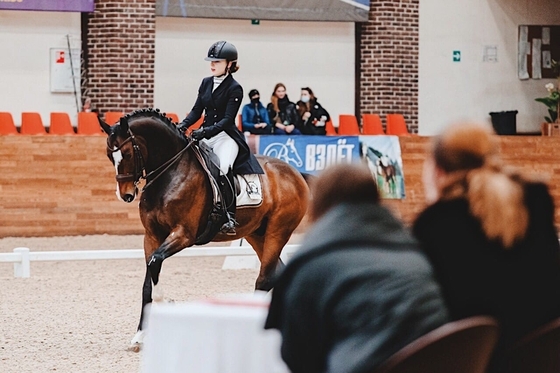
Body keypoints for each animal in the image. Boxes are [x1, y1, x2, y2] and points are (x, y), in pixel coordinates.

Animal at [98, 108, 308, 352]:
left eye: (128, 154)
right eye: (109, 155)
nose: (126, 195)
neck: (171, 173)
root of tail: (295, 173)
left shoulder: (184, 234)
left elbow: (155, 264)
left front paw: (168, 303)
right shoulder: (151, 236)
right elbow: (148, 281)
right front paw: (139, 336)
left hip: (277, 231)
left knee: (264, 279)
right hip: (256, 234)